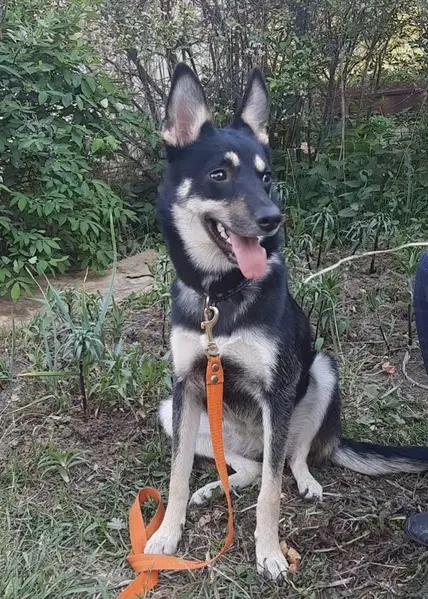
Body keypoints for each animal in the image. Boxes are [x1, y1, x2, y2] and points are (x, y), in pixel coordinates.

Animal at [144, 63, 428, 582]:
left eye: (267, 176)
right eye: (219, 175)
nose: (273, 219)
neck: (221, 293)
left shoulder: (277, 392)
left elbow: (271, 494)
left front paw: (269, 552)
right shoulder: (187, 385)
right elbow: (175, 477)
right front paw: (165, 537)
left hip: (320, 374)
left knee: (289, 457)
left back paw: (306, 480)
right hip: (172, 412)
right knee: (248, 467)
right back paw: (214, 487)